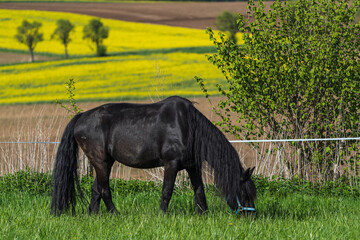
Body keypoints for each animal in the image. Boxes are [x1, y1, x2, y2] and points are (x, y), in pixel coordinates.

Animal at [51, 95, 258, 216]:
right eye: (244, 193)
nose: (252, 215)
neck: (188, 126)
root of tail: (81, 117)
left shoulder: (192, 166)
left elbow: (199, 190)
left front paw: (203, 214)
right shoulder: (171, 164)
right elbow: (167, 191)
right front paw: (162, 215)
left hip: (105, 163)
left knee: (96, 190)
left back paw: (94, 215)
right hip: (101, 162)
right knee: (104, 190)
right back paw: (115, 214)